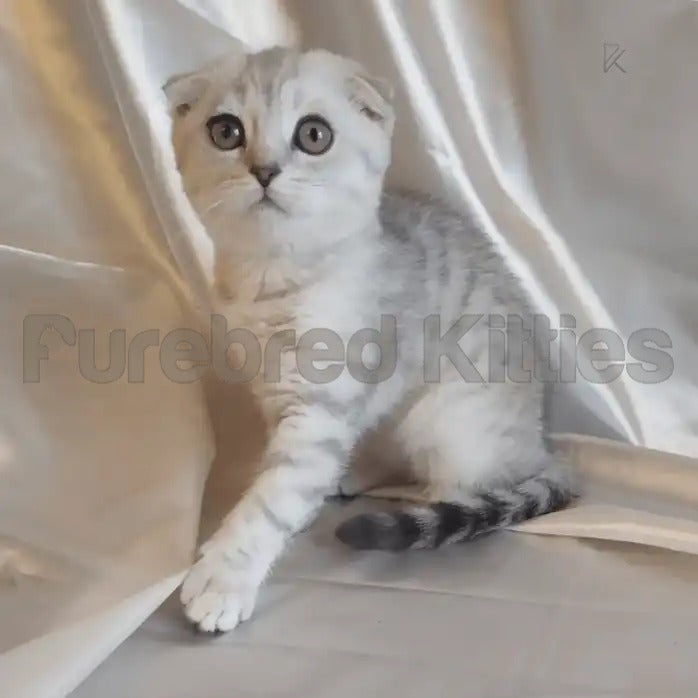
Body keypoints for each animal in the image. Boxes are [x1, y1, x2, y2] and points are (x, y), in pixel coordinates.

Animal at [166, 43, 572, 632]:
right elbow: (282, 472)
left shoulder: (321, 402)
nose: (264, 170)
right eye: (226, 132)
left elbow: (273, 495)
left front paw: (225, 576)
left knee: (473, 485)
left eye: (314, 135)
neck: (274, 281)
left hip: (449, 420)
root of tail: (541, 445)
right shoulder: (274, 391)